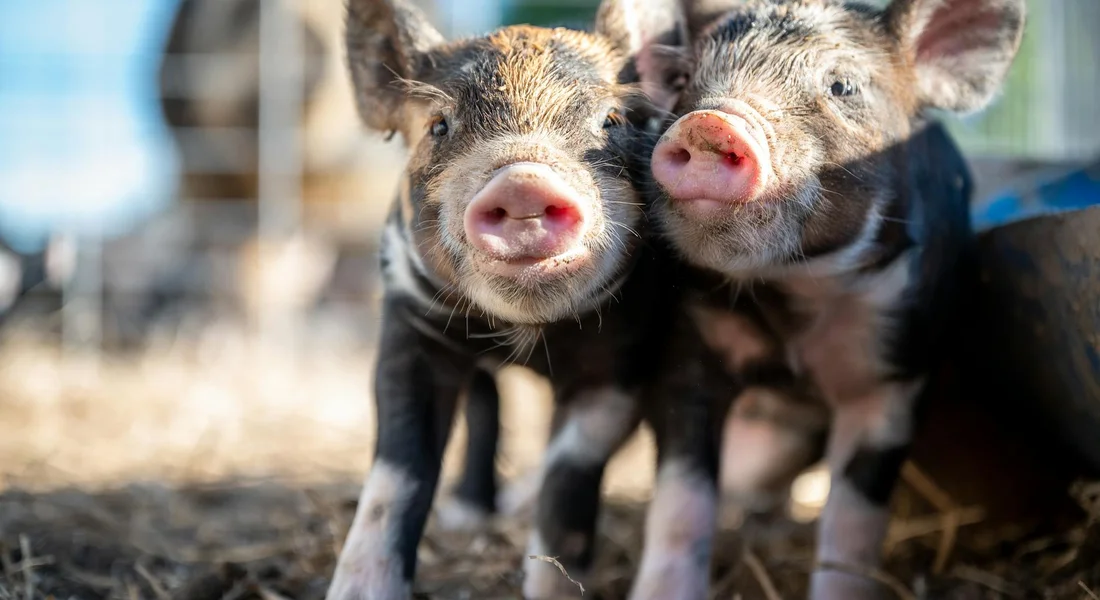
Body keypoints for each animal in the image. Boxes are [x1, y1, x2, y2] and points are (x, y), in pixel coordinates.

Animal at [327, 1, 735, 599]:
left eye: (612, 121)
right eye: (439, 125)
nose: (522, 181)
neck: (528, 332)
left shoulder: (618, 365)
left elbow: (567, 482)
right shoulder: (410, 323)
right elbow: (398, 473)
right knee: (486, 400)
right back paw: (468, 514)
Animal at [646, 0, 1025, 597]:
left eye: (842, 85)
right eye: (683, 80)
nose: (708, 122)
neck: (798, 293)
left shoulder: (895, 374)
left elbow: (852, 522)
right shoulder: (690, 350)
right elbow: (681, 504)